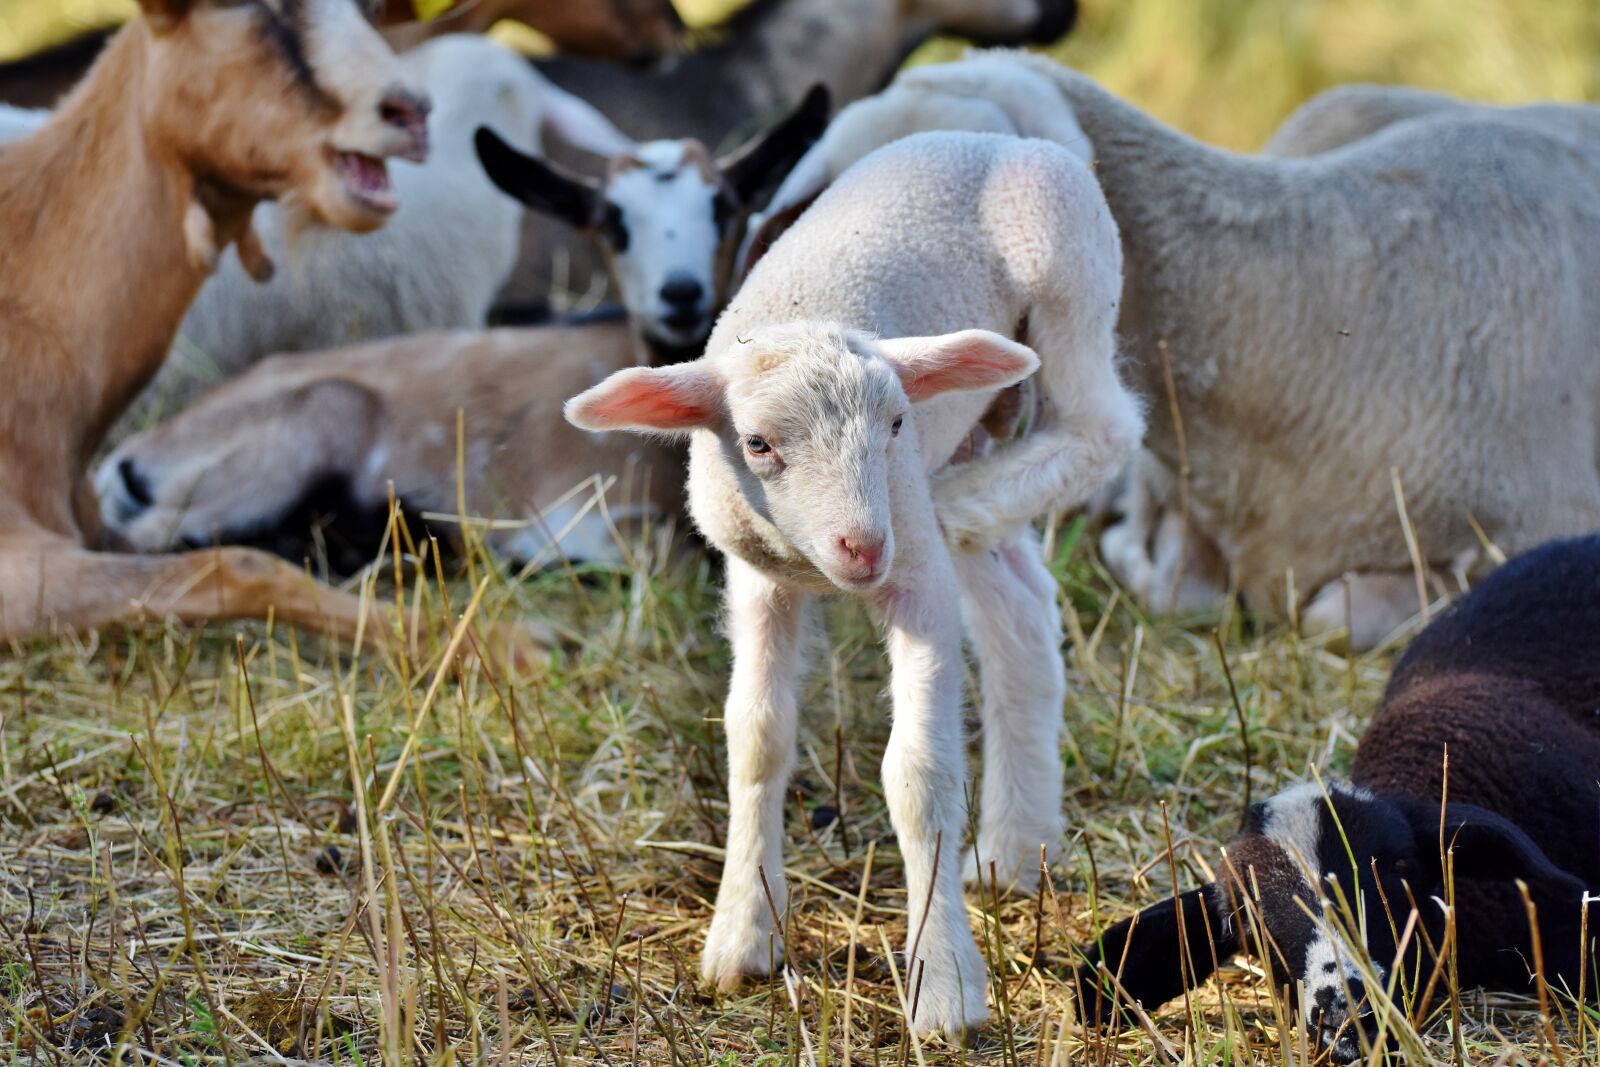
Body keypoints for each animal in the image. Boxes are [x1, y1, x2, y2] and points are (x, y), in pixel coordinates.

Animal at [563, 131, 1143, 1038]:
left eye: (896, 422)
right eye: (758, 444)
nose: (863, 547)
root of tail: (998, 135)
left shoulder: (917, 582)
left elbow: (918, 772)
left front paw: (944, 986)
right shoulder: (760, 581)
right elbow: (757, 738)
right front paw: (742, 935)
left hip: (1071, 274)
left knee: (1105, 425)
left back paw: (962, 501)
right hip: (974, 427)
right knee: (1021, 611)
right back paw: (1014, 847)